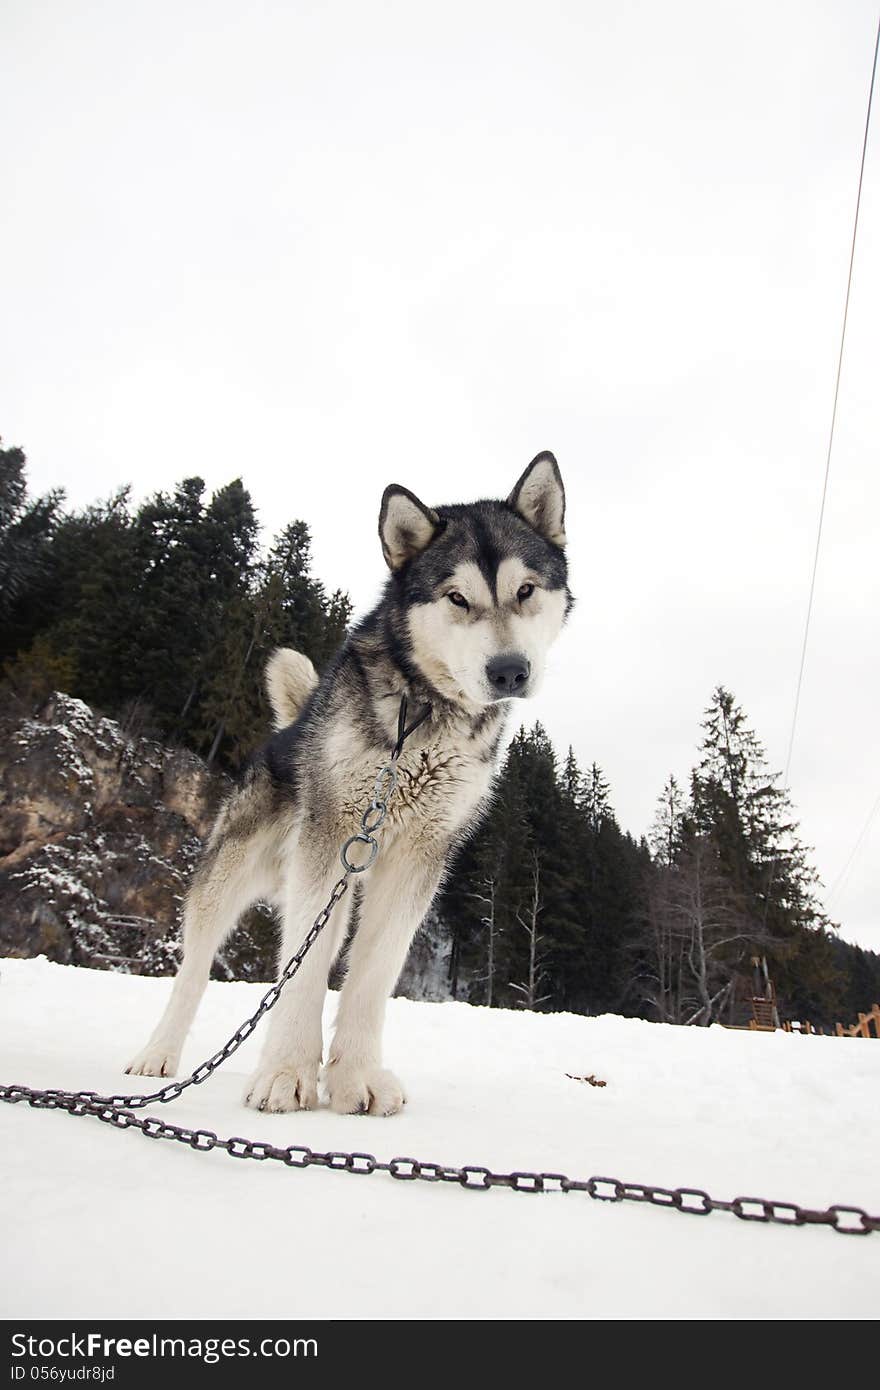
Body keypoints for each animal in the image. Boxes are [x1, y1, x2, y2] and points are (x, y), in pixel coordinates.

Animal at [127, 455, 572, 1117]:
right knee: (196, 969)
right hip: (234, 874)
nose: (510, 671)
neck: (422, 714)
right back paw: (158, 1052)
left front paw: (354, 1077)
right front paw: (285, 1074)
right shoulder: (332, 837)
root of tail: (288, 727)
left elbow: (372, 975)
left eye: (525, 591)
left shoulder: (420, 856)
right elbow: (304, 974)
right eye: (457, 597)